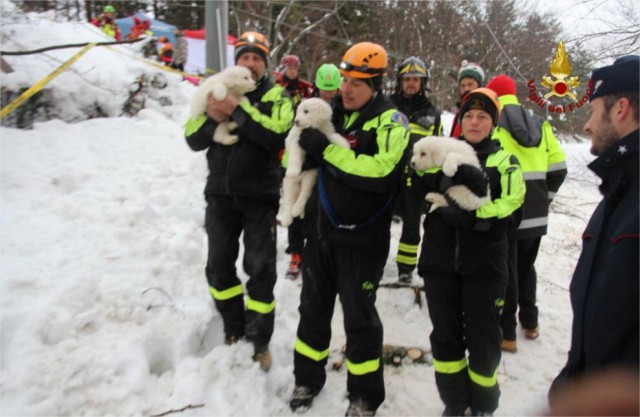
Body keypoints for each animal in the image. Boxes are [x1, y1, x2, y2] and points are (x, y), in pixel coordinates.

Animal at [278, 97, 350, 226]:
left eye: (306, 111)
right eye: (298, 112)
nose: (295, 121)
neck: (314, 128)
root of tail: (300, 181)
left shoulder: (325, 134)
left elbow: (333, 136)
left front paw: (344, 144)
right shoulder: (296, 140)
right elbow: (294, 154)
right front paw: (292, 170)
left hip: (310, 176)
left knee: (304, 194)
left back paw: (298, 210)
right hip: (289, 183)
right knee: (289, 200)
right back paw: (287, 218)